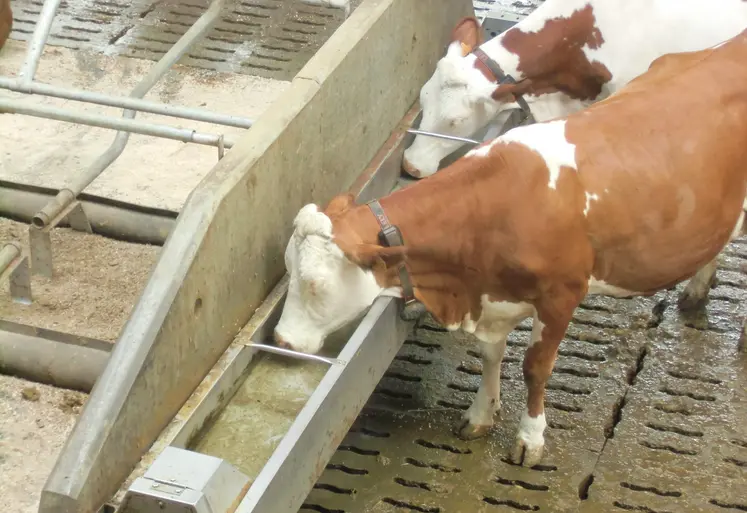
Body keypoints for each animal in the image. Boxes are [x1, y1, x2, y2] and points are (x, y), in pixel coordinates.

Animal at [274, 30, 747, 466]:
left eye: (315, 285)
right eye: (289, 270)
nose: (281, 339)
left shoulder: (561, 294)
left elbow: (536, 368)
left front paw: (530, 438)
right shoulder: (491, 296)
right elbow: (490, 354)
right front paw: (481, 413)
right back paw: (696, 293)